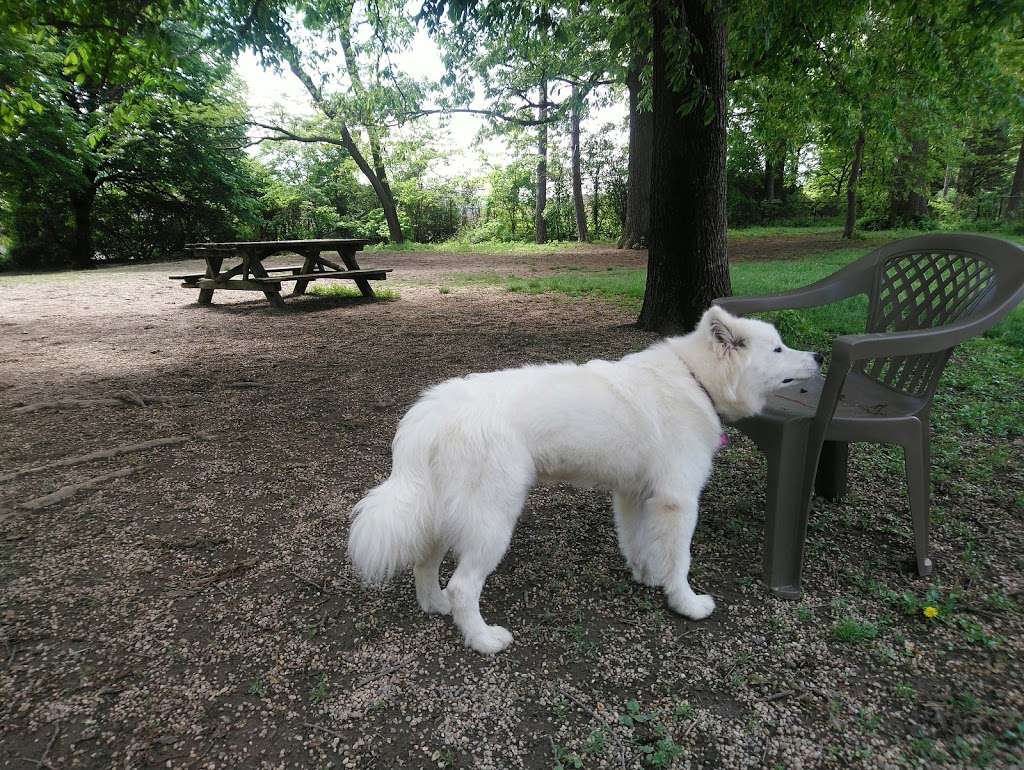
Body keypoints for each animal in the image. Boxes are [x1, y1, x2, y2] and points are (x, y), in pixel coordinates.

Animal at [348, 303, 819, 651]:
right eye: (778, 349)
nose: (816, 357)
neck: (695, 378)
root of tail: (431, 409)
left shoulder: (633, 496)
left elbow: (639, 542)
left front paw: (647, 576)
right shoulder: (679, 500)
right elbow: (680, 559)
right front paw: (685, 603)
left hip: (444, 512)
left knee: (425, 563)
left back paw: (436, 606)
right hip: (492, 521)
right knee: (464, 587)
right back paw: (483, 640)